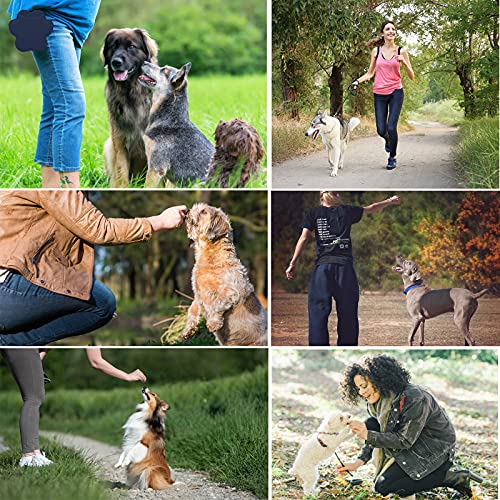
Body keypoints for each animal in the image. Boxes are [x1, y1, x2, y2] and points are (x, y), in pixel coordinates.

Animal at [100, 28, 158, 187]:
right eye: (113, 47)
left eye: (131, 46)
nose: (116, 62)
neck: (131, 94)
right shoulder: (119, 142)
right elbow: (121, 173)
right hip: (108, 145)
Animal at [182, 202, 268, 344]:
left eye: (203, 211)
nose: (187, 211)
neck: (210, 257)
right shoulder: (198, 295)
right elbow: (192, 310)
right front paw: (187, 330)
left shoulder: (230, 292)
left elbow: (215, 305)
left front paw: (213, 323)